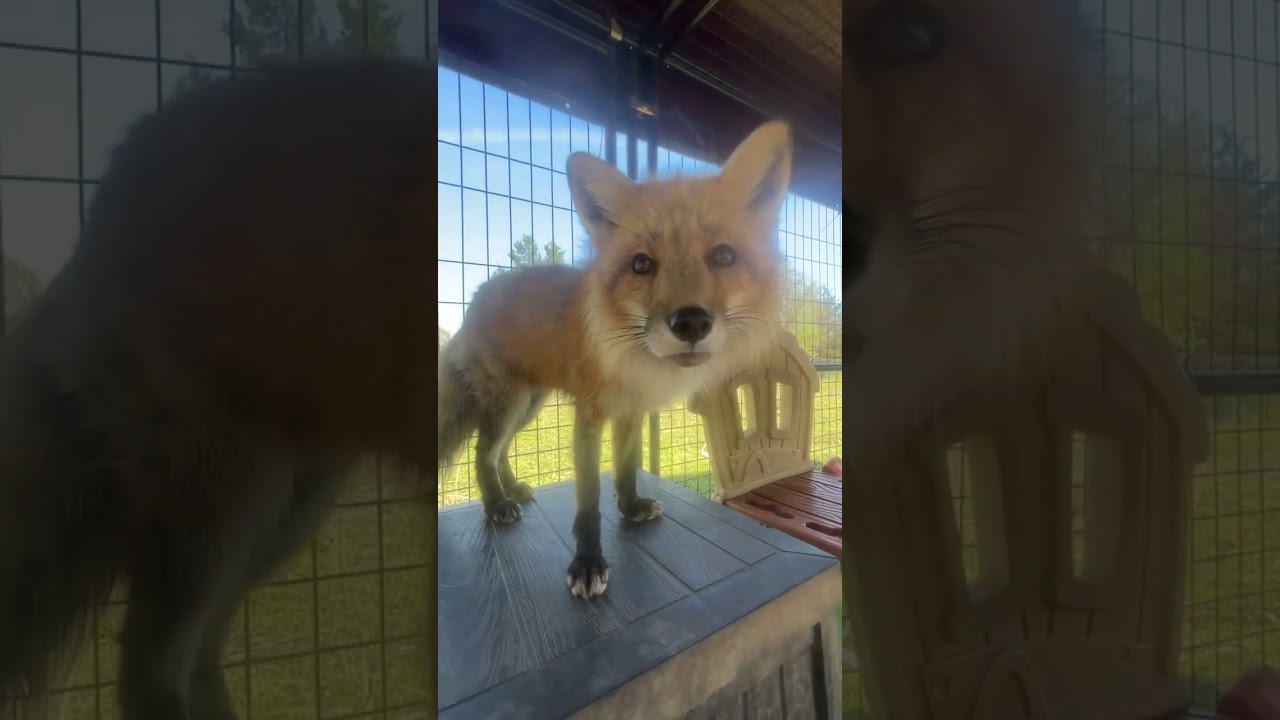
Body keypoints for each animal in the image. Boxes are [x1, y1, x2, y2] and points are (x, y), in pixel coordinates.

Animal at [436, 121, 791, 600]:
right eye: (641, 265)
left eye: (724, 257)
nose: (691, 322)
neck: (635, 364)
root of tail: (475, 296)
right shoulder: (590, 416)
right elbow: (588, 499)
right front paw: (588, 562)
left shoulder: (632, 410)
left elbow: (625, 467)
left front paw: (631, 507)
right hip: (509, 403)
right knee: (482, 452)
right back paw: (496, 504)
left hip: (527, 407)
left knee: (497, 451)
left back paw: (511, 490)